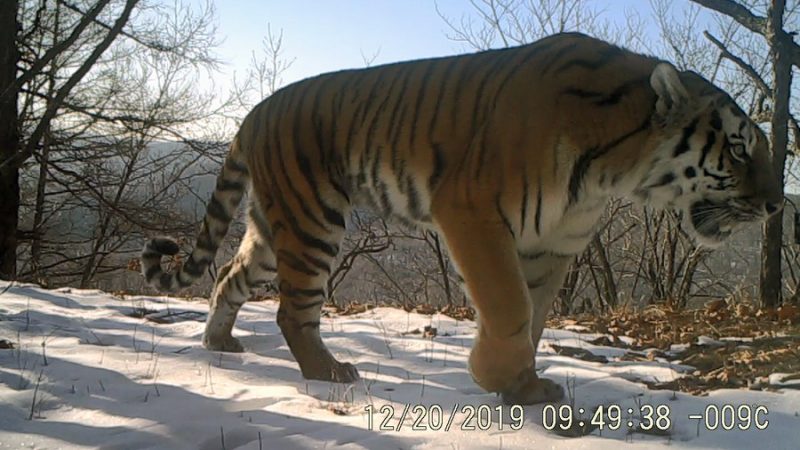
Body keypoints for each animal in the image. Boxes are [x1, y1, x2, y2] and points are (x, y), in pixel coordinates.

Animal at [139, 31, 780, 404]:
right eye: (739, 148)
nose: (777, 204)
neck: (615, 168)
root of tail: (253, 112)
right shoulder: (475, 211)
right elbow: (511, 308)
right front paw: (494, 377)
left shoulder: (553, 244)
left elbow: (535, 318)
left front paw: (523, 387)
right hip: (312, 221)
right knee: (292, 311)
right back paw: (328, 372)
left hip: (276, 229)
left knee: (230, 275)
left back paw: (220, 342)